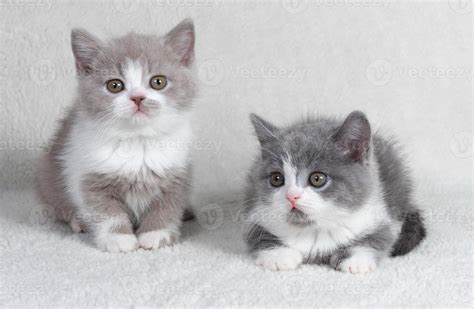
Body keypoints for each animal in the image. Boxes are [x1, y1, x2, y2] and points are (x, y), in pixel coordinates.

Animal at [36, 18, 196, 251]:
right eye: (115, 85)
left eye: (158, 82)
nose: (137, 97)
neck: (138, 141)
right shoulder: (90, 176)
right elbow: (107, 211)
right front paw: (119, 239)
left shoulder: (177, 173)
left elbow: (166, 205)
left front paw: (156, 234)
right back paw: (77, 221)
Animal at [244, 110, 426, 272]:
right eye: (276, 179)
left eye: (317, 178)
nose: (291, 196)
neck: (315, 231)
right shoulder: (255, 212)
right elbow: (257, 235)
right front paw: (279, 256)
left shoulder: (380, 214)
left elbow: (381, 237)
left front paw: (354, 259)